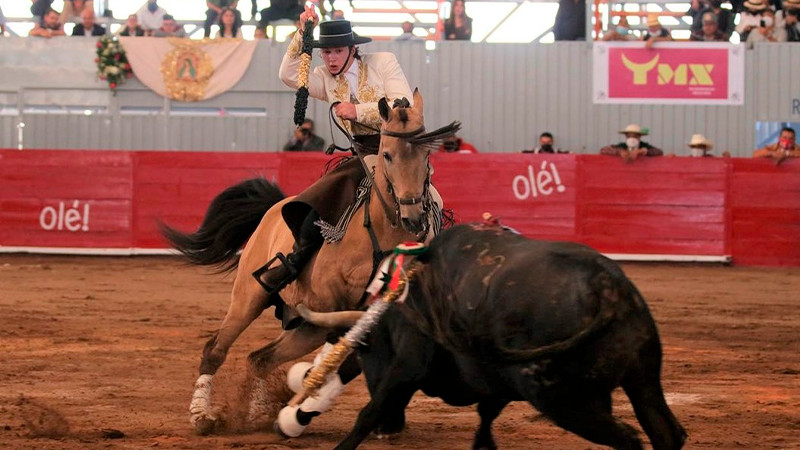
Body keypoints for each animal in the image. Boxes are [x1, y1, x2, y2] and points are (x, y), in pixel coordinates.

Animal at [162, 89, 454, 434]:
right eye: (387, 155)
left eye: (427, 156)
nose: (413, 217)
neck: (382, 230)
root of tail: (273, 210)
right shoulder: (336, 303)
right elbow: (343, 357)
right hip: (249, 297)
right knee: (216, 349)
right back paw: (202, 415)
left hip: (306, 326)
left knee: (261, 358)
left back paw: (260, 412)